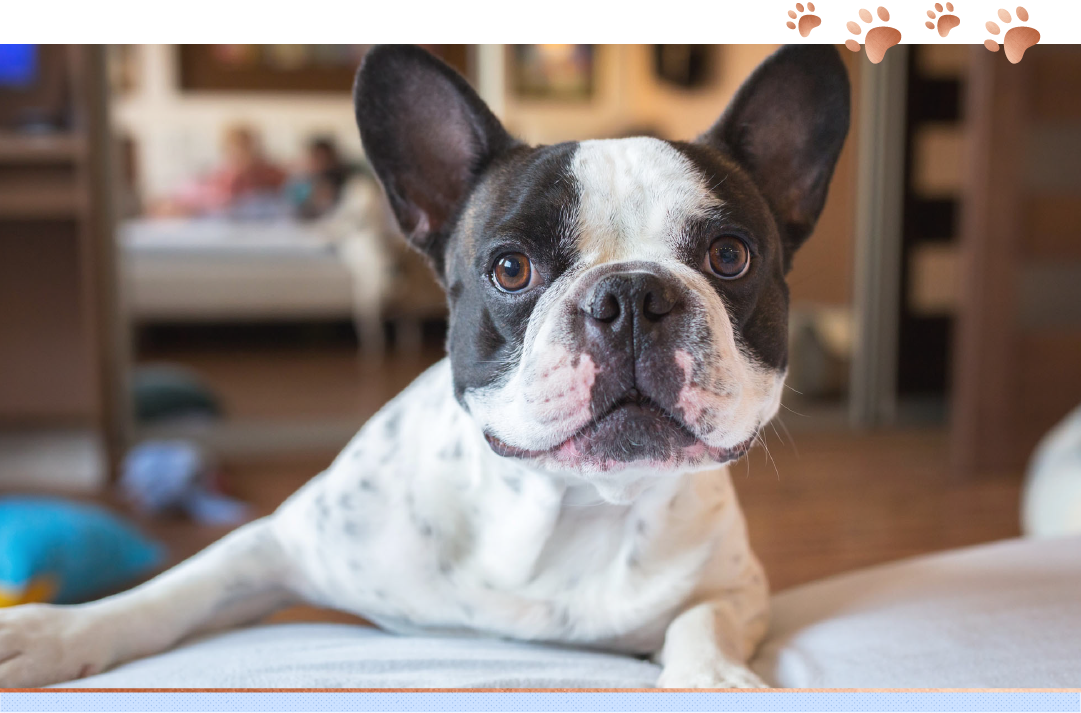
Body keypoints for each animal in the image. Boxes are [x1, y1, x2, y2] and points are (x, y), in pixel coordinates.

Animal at [0, 44, 847, 691]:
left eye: (729, 257)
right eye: (510, 268)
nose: (633, 295)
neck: (566, 505)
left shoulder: (739, 587)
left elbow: (704, 618)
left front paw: (715, 678)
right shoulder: (276, 547)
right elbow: (176, 589)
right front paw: (49, 633)